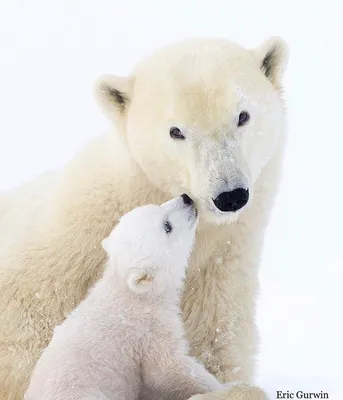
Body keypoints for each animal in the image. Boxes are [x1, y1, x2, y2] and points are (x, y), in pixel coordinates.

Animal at [24, 195, 223, 400]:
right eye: (167, 226)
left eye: (156, 206)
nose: (186, 198)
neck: (128, 291)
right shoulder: (148, 330)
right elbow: (168, 368)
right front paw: (220, 387)